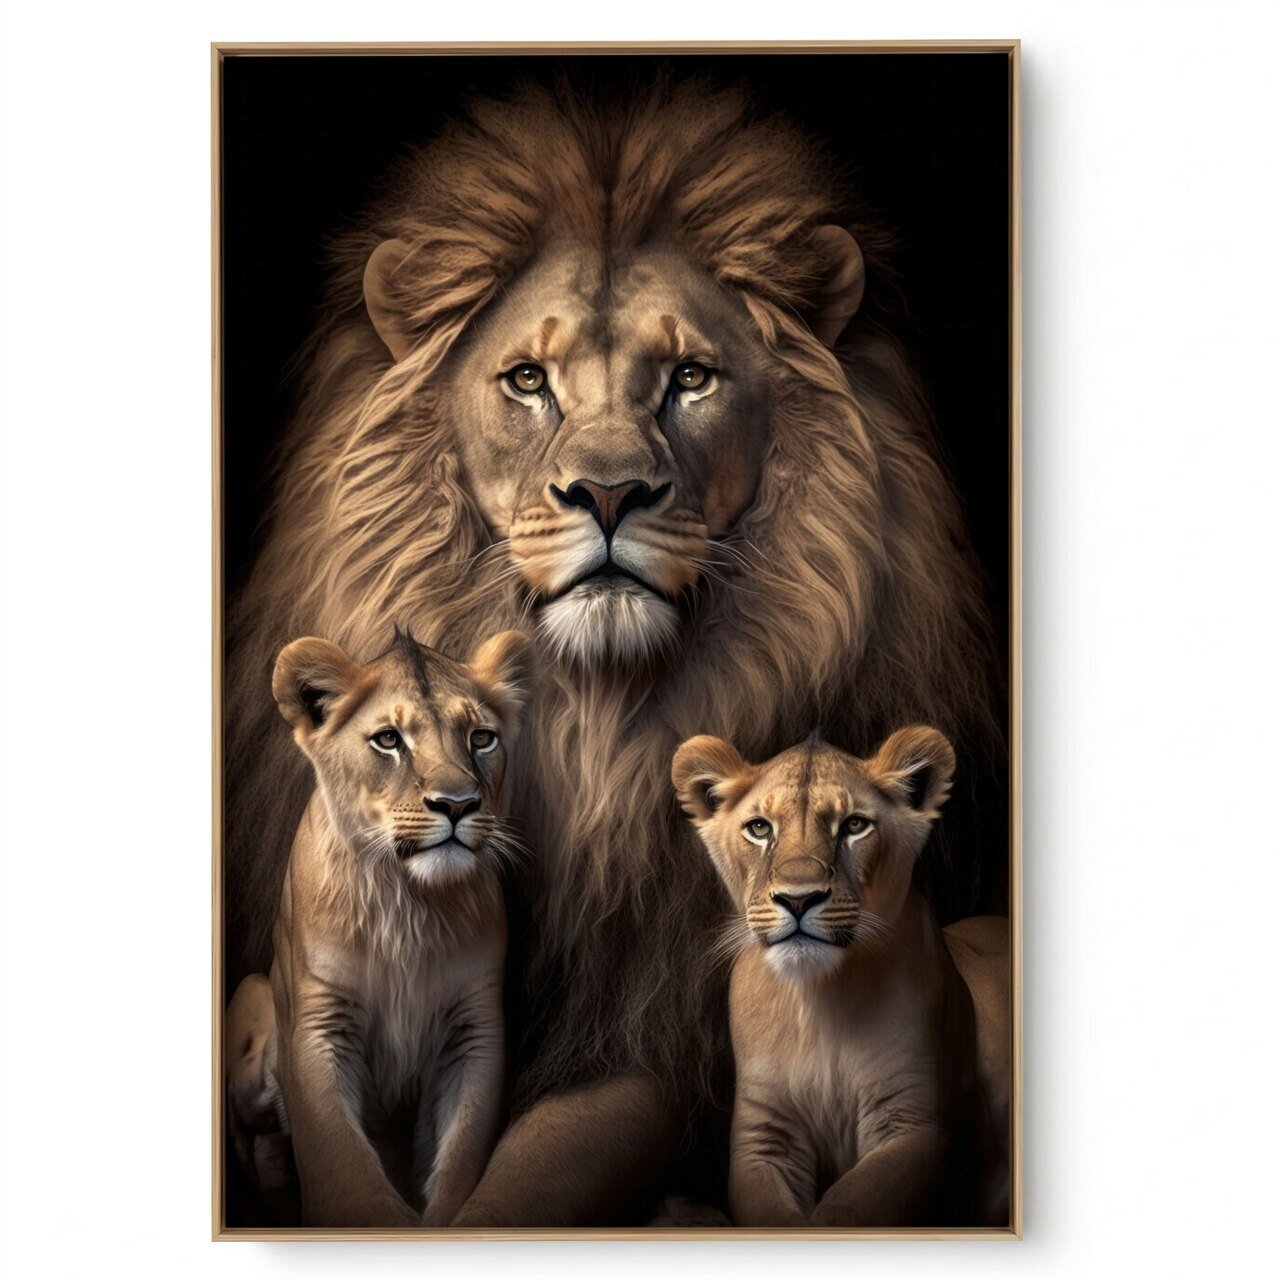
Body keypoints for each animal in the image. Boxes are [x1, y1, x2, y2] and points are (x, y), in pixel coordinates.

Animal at [227, 626, 531, 1227]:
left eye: (481, 737)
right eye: (389, 740)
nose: (457, 804)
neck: (407, 903)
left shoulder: (475, 1028)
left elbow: (460, 1160)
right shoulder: (316, 1024)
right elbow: (342, 1167)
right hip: (251, 1001)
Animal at [672, 728, 1009, 1227]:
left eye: (853, 826)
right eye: (760, 828)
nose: (798, 899)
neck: (817, 1002)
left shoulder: (912, 1121)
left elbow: (849, 1207)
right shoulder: (763, 1135)